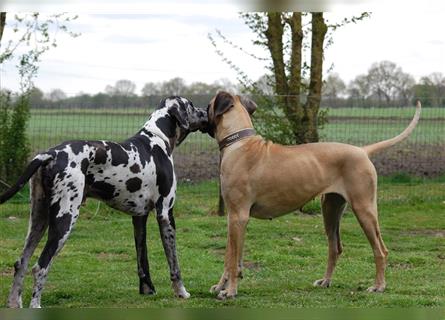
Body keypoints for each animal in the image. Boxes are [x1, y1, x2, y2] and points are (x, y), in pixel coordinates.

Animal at [0, 97, 207, 308]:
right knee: (40, 266)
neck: (157, 138)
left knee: (21, 263)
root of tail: (51, 153)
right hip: (64, 220)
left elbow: (143, 261)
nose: (206, 112)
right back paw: (36, 305)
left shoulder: (139, 218)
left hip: (38, 220)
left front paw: (148, 291)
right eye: (191, 105)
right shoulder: (165, 213)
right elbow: (174, 263)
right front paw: (181, 292)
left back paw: (14, 303)